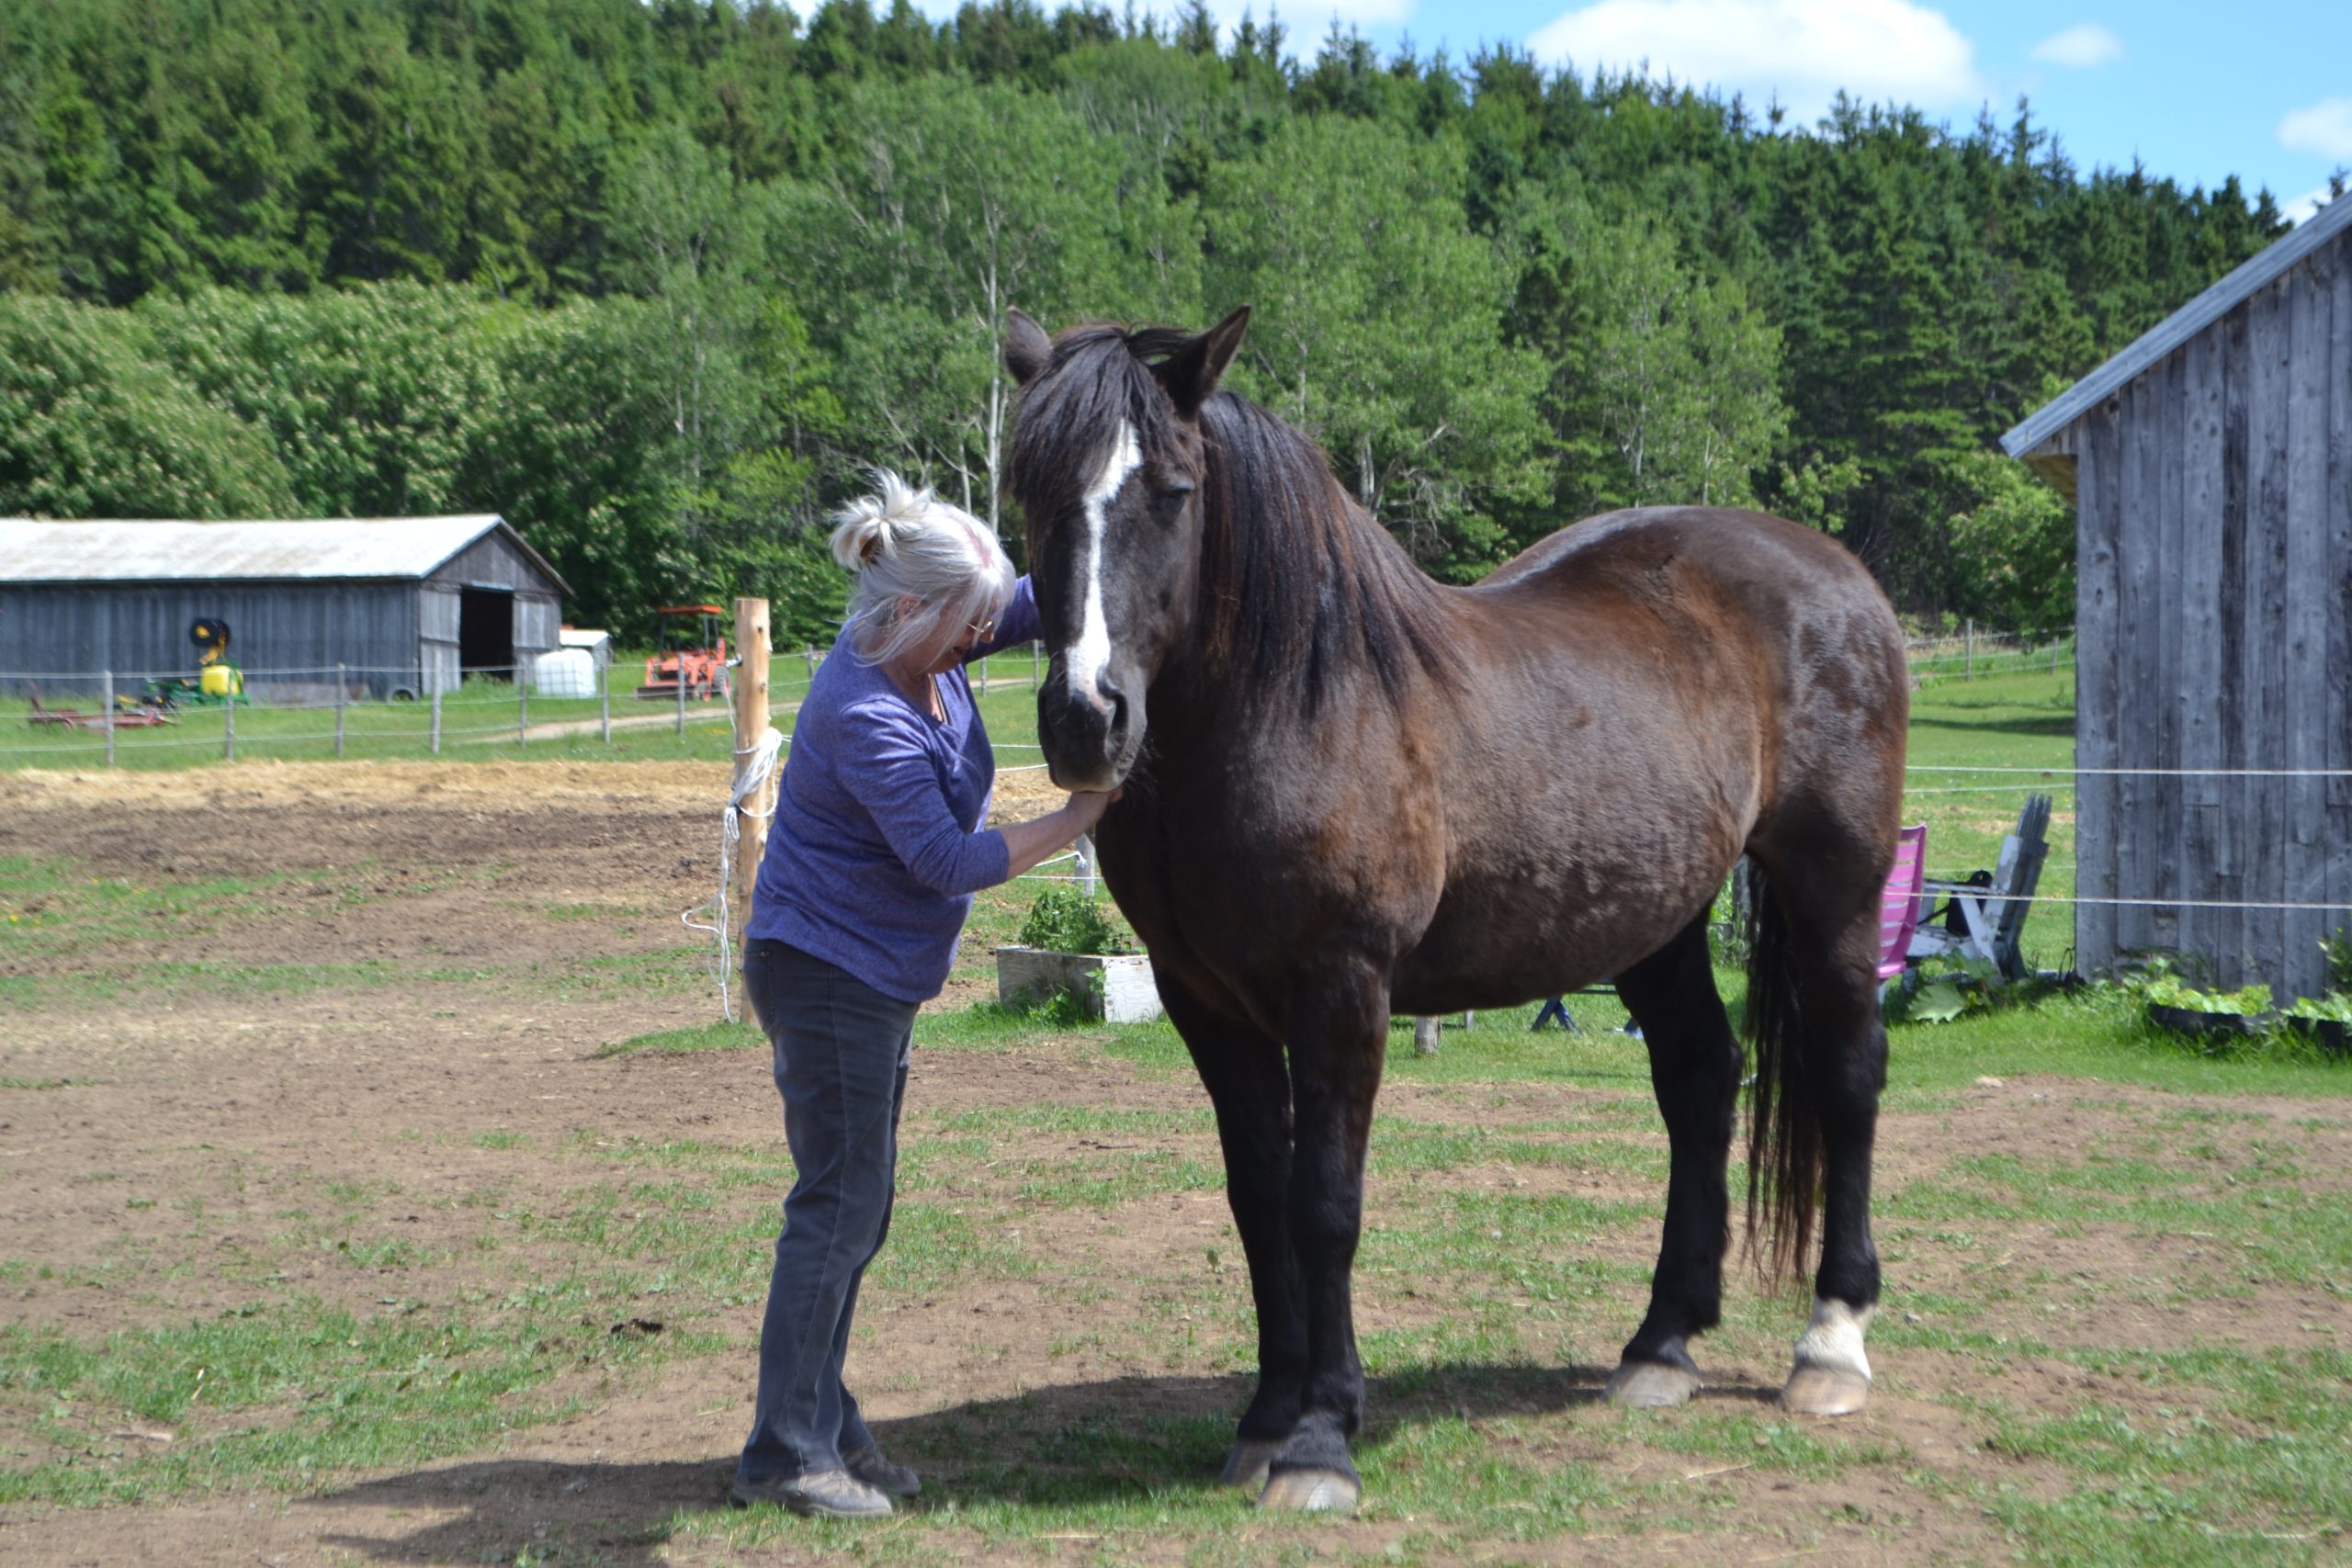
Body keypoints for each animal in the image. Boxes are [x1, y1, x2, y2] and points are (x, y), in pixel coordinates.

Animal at [1001, 306, 1910, 1513]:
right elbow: (1257, 1202)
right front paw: (1263, 1420)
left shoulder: (1342, 992)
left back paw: (1831, 1345)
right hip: (1653, 918)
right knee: (1699, 1079)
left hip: (1833, 888)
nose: (1082, 720)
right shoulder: (1207, 1004)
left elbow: (1323, 1205)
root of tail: (1837, 573)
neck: (1296, 703)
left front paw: (1319, 1439)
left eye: (1174, 490)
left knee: (1848, 1076)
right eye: (1029, 486)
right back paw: (1660, 1345)